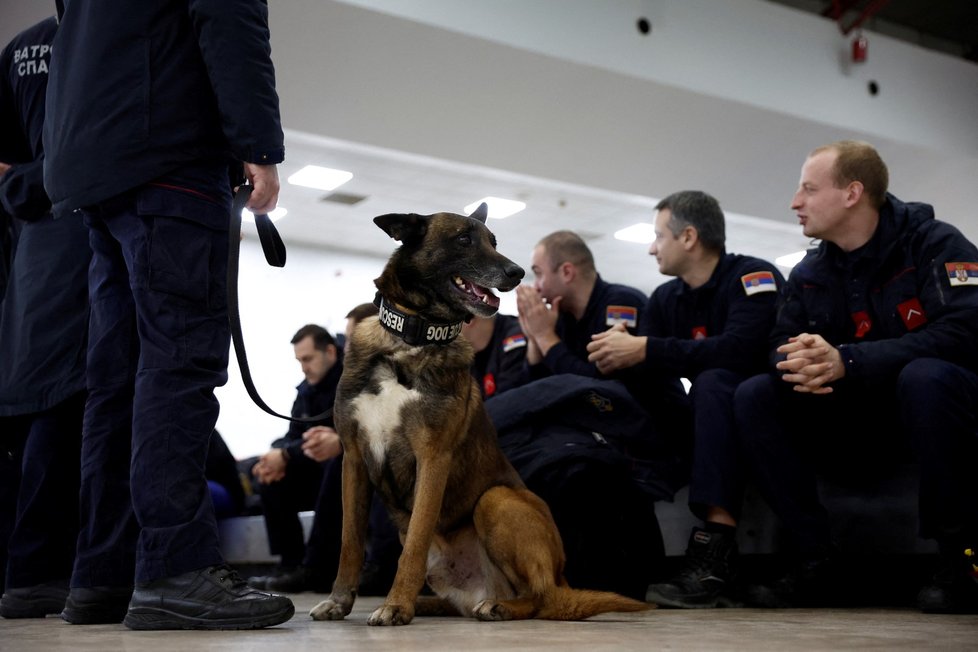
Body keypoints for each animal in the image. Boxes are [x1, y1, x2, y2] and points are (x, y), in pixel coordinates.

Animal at [308, 204, 652, 628]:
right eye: (463, 240)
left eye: (493, 242)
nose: (517, 273)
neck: (412, 339)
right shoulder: (354, 460)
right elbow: (350, 542)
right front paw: (339, 601)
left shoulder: (432, 459)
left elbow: (415, 542)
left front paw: (396, 605)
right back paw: (435, 604)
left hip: (497, 500)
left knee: (542, 598)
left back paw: (497, 606)